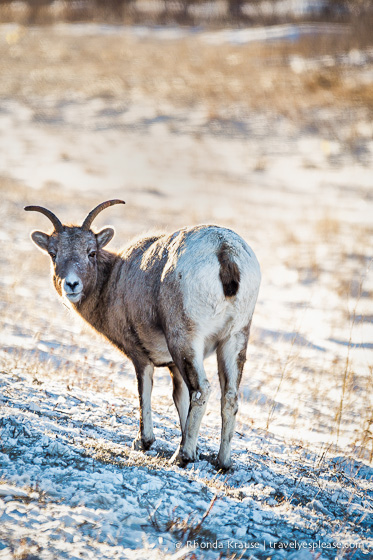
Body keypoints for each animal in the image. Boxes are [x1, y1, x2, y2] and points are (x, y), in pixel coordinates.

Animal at [26, 199, 260, 470]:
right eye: (53, 254)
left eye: (91, 252)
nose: (71, 285)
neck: (114, 280)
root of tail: (224, 251)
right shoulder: (174, 366)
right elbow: (180, 399)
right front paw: (196, 450)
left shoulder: (141, 356)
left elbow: (144, 391)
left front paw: (144, 442)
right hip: (234, 340)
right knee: (229, 397)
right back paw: (223, 462)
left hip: (185, 341)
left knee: (201, 391)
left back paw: (181, 456)